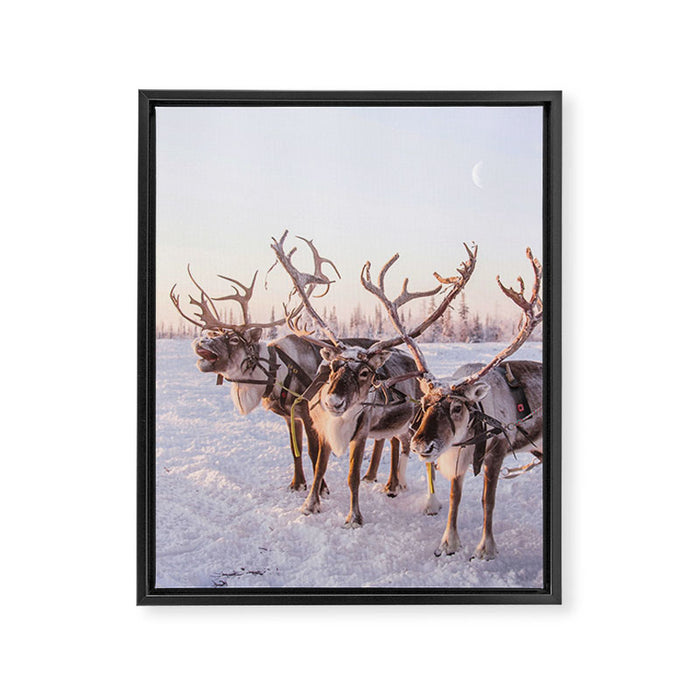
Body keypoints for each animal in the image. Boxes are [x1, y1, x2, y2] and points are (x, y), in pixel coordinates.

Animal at [169, 239, 387, 493]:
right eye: (217, 334)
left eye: (233, 339)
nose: (200, 341)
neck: (275, 373)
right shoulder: (289, 416)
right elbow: (295, 450)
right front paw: (297, 483)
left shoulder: (308, 414)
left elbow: (313, 452)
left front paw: (321, 488)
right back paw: (371, 475)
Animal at [271, 231, 478, 528]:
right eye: (332, 367)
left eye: (365, 372)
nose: (334, 402)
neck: (339, 422)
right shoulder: (322, 430)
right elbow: (319, 468)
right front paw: (309, 505)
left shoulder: (360, 434)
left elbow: (352, 477)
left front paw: (354, 517)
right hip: (399, 426)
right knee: (397, 443)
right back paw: (394, 484)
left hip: (418, 420)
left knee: (421, 454)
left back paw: (429, 501)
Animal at [365, 246, 543, 558]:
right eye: (424, 403)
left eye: (457, 407)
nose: (422, 445)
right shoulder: (457, 457)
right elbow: (454, 498)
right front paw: (449, 542)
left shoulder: (496, 453)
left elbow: (487, 501)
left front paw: (486, 548)